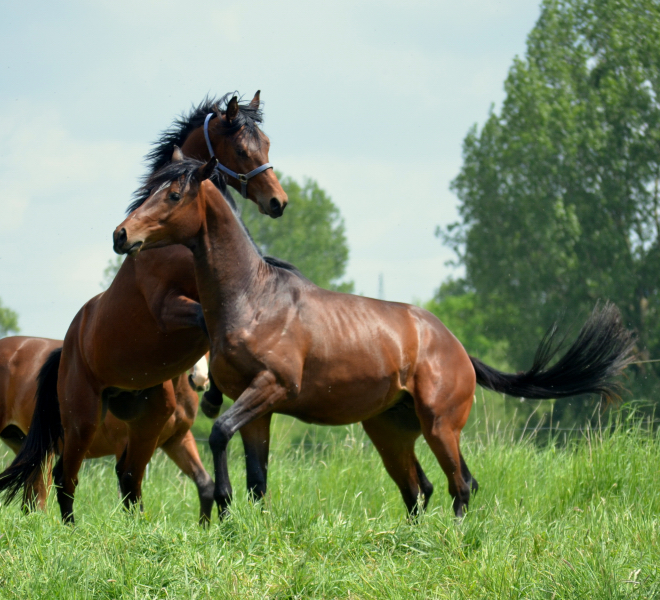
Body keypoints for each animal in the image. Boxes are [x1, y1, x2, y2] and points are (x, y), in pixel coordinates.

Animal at [0, 338, 213, 520]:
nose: (200, 379)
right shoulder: (124, 443)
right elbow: (128, 481)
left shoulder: (177, 440)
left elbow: (204, 483)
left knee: (33, 493)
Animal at [111, 157, 636, 516]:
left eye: (172, 196)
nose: (121, 235)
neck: (254, 299)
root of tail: (457, 348)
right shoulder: (255, 405)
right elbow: (255, 475)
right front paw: (237, 518)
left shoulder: (272, 388)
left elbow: (219, 432)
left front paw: (222, 502)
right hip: (390, 431)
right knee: (419, 489)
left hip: (441, 426)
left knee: (461, 485)